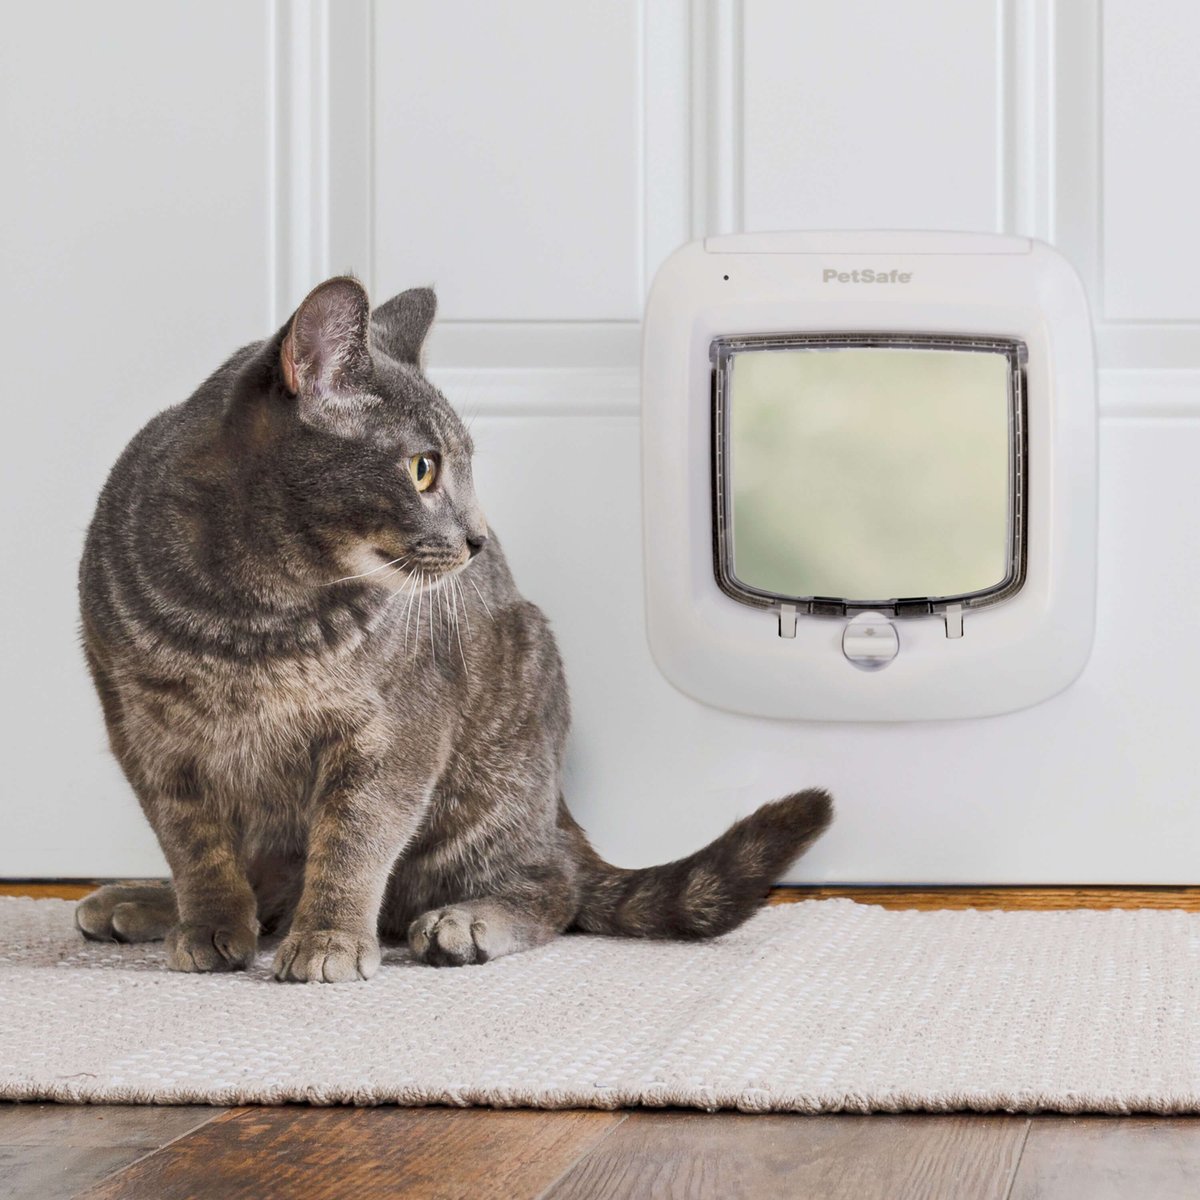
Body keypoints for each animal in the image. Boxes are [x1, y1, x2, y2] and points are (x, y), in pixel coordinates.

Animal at [72, 276, 825, 979]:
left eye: (458, 467)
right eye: (422, 468)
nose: (478, 539)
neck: (253, 615)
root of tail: (560, 810)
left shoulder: (394, 732)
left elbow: (353, 841)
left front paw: (330, 940)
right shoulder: (146, 734)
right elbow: (194, 844)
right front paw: (207, 924)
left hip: (494, 771)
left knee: (554, 883)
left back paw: (466, 921)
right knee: (269, 882)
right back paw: (144, 901)